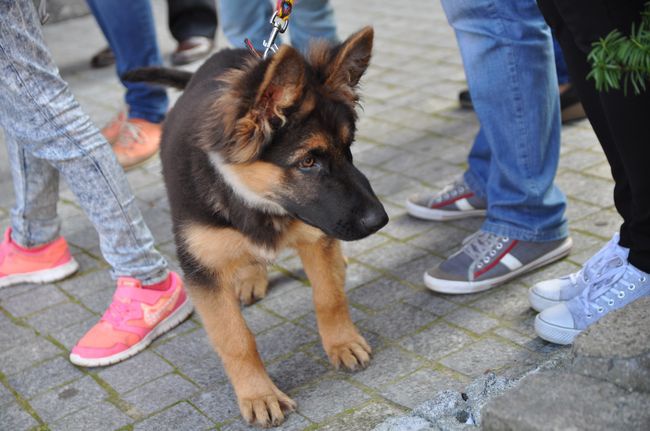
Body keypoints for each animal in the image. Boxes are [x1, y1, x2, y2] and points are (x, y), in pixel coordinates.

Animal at [125, 27, 384, 428]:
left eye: (348, 147)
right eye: (308, 162)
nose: (380, 220)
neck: (254, 197)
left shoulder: (317, 235)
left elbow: (329, 297)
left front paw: (342, 343)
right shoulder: (202, 270)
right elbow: (236, 340)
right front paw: (259, 395)